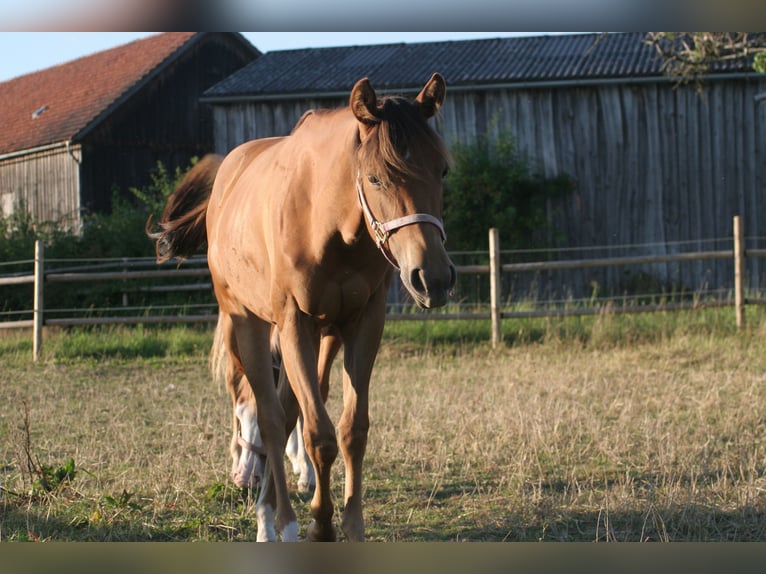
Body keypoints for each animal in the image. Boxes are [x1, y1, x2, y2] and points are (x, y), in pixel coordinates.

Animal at [150, 74, 456, 544]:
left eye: (442, 170)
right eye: (376, 177)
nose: (433, 278)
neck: (326, 222)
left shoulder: (362, 323)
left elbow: (352, 430)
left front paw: (352, 526)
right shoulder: (294, 322)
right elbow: (316, 434)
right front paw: (320, 525)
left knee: (286, 409)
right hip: (249, 323)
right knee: (271, 419)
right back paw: (275, 523)